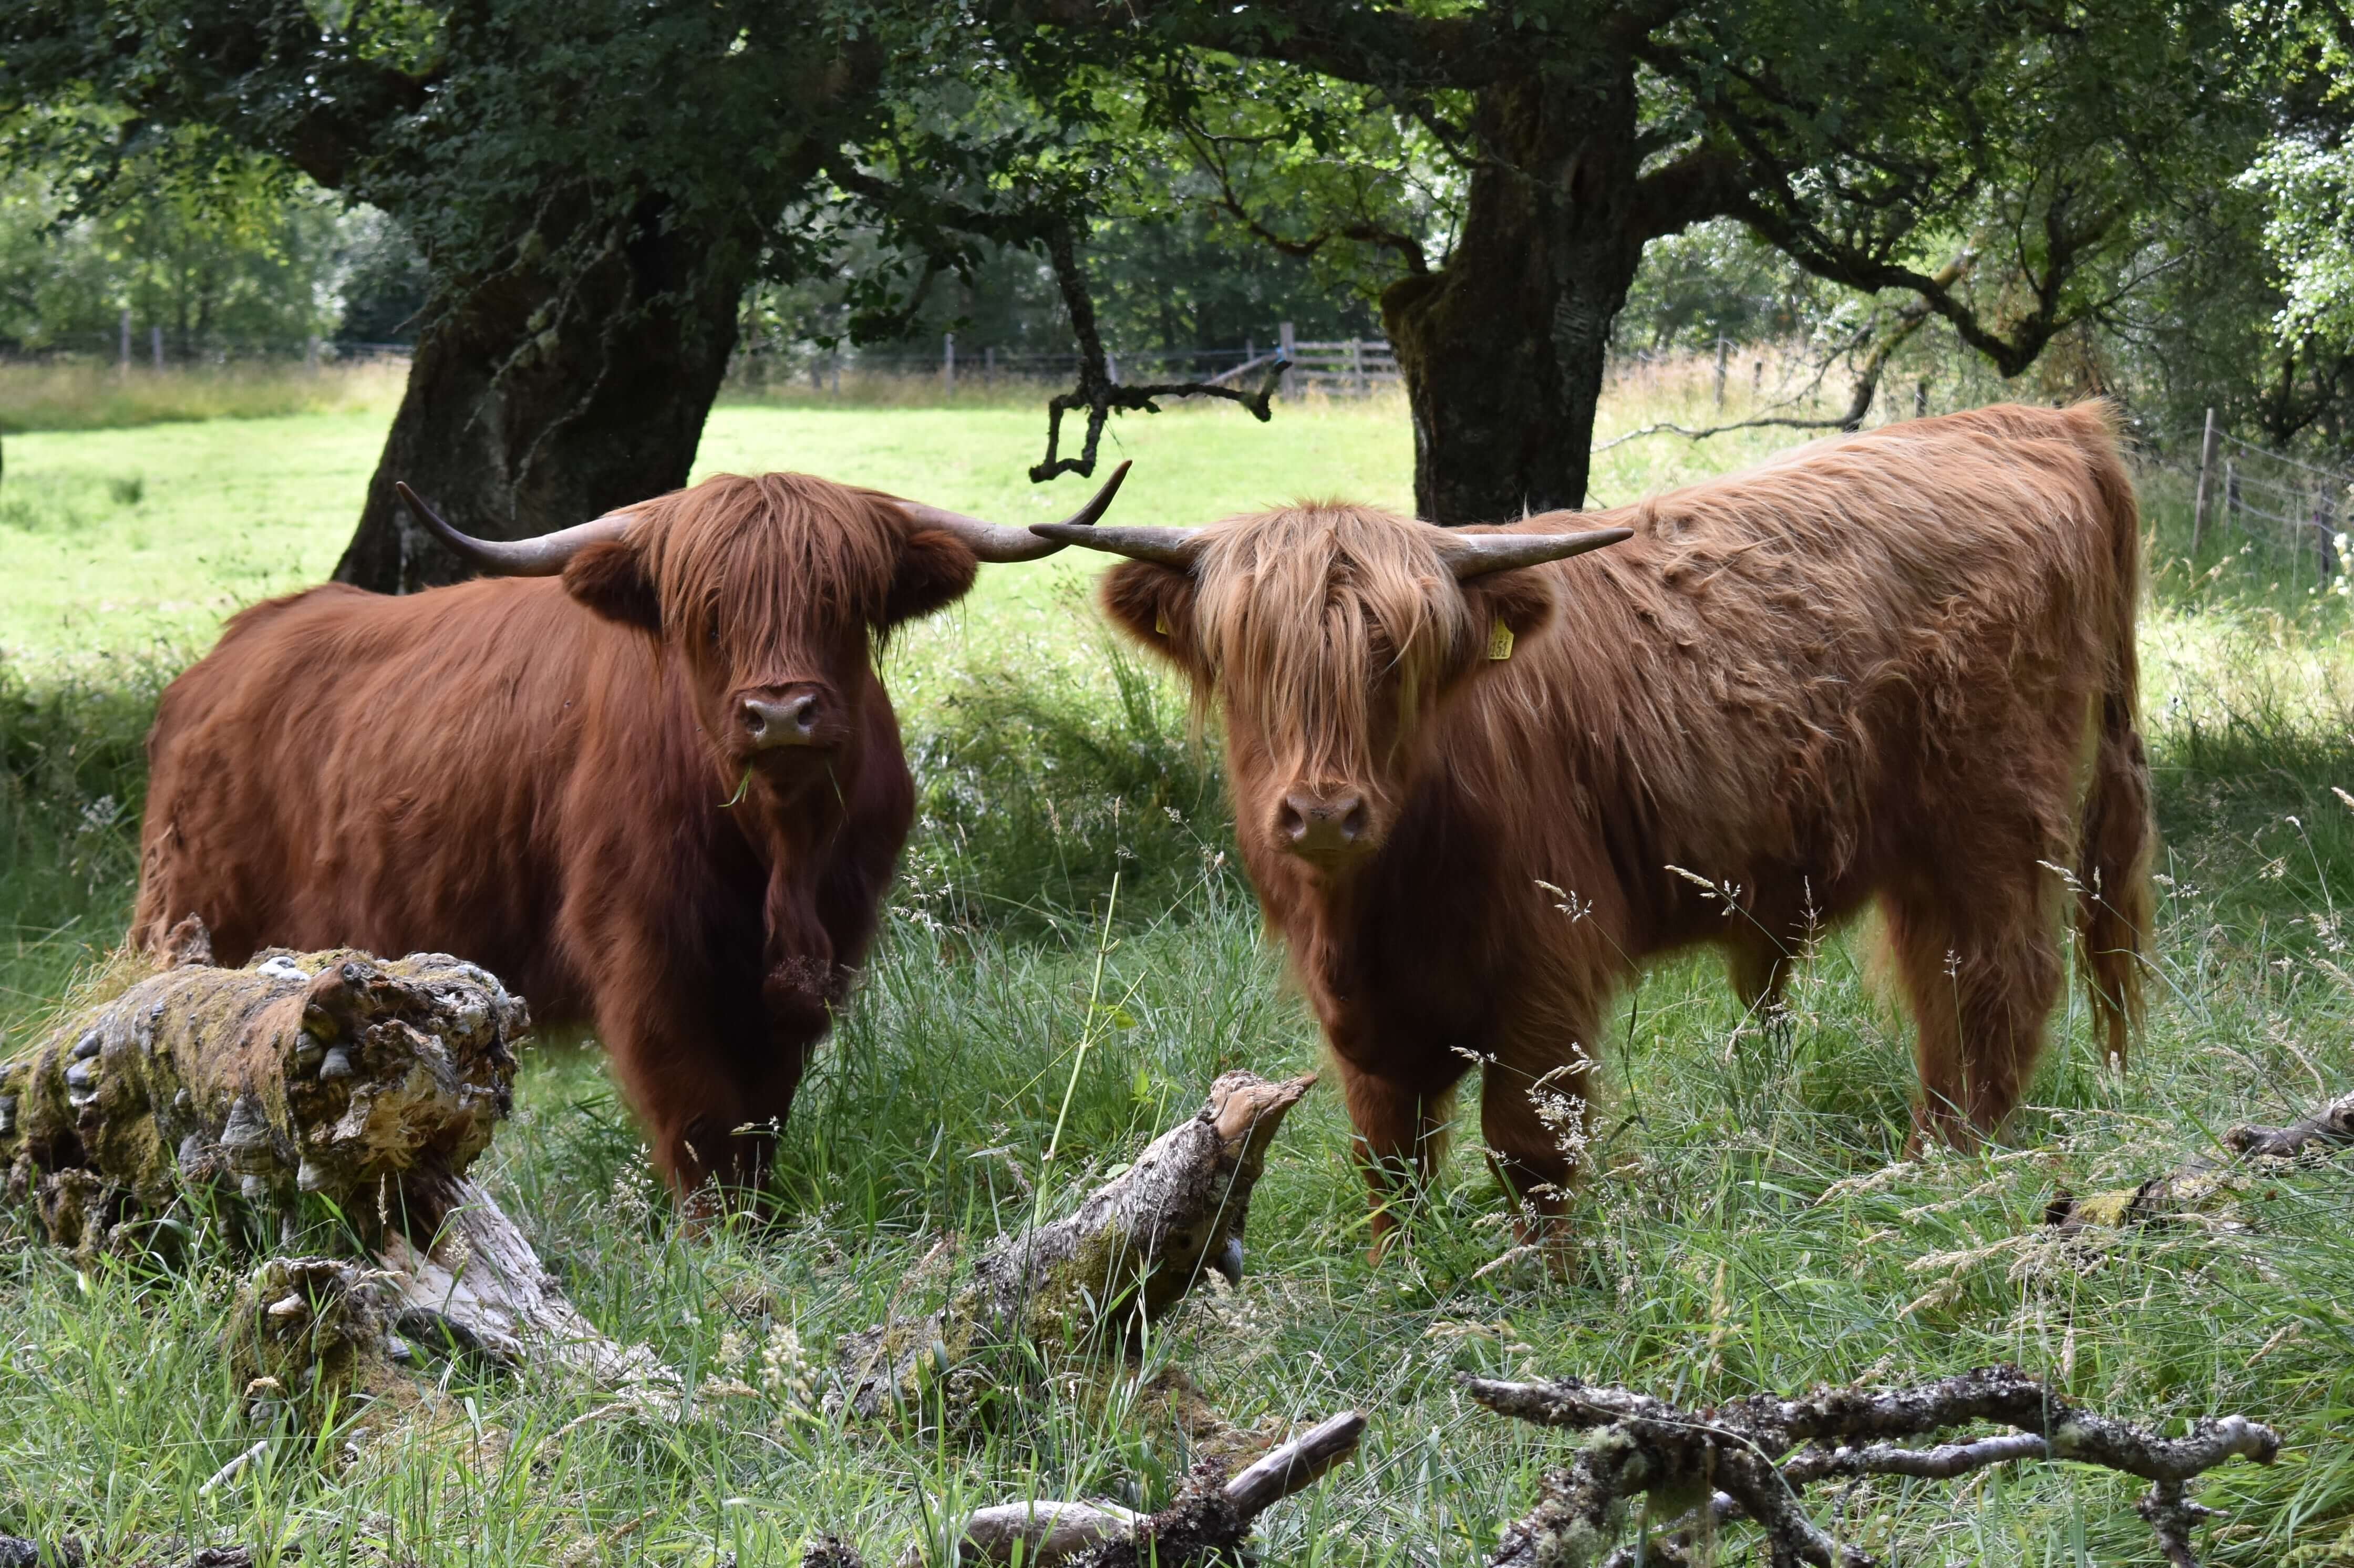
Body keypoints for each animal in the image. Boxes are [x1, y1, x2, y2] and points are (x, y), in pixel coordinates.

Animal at [1045, 405, 2156, 1243]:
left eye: (1397, 659)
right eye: (1251, 662)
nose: (1324, 808)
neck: (1376, 907)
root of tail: (2036, 420)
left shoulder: (1548, 966)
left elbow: (1529, 1143)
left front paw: (1546, 1286)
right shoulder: (1361, 1015)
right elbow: (1388, 1155)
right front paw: (1398, 1275)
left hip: (1993, 821)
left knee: (2000, 985)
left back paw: (1945, 1169)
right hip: (1934, 853)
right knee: (1948, 995)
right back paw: (1925, 1156)